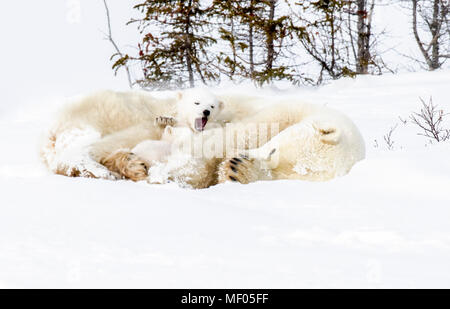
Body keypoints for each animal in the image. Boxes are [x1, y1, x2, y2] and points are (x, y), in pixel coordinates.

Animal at [40, 87, 366, 188]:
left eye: (276, 171)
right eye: (274, 150)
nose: (249, 158)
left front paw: (236, 170)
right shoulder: (286, 110)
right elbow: (231, 135)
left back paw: (128, 164)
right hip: (120, 109)